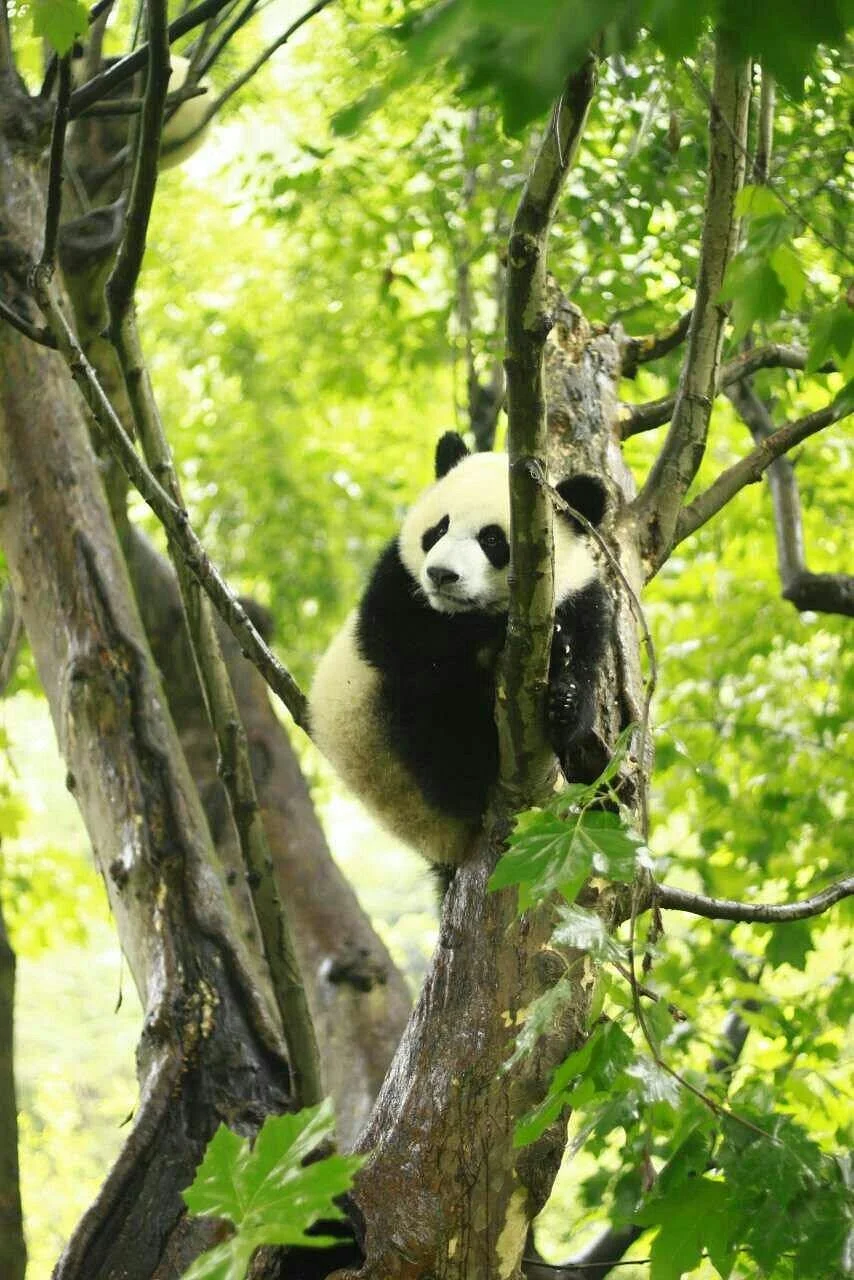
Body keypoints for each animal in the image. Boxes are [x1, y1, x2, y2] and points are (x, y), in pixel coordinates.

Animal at [309, 432, 611, 876]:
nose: (441, 575)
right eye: (439, 529)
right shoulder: (396, 585)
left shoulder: (583, 600)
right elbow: (407, 648)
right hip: (381, 739)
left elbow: (586, 664)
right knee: (433, 725)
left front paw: (565, 699)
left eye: (492, 539)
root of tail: (441, 847)